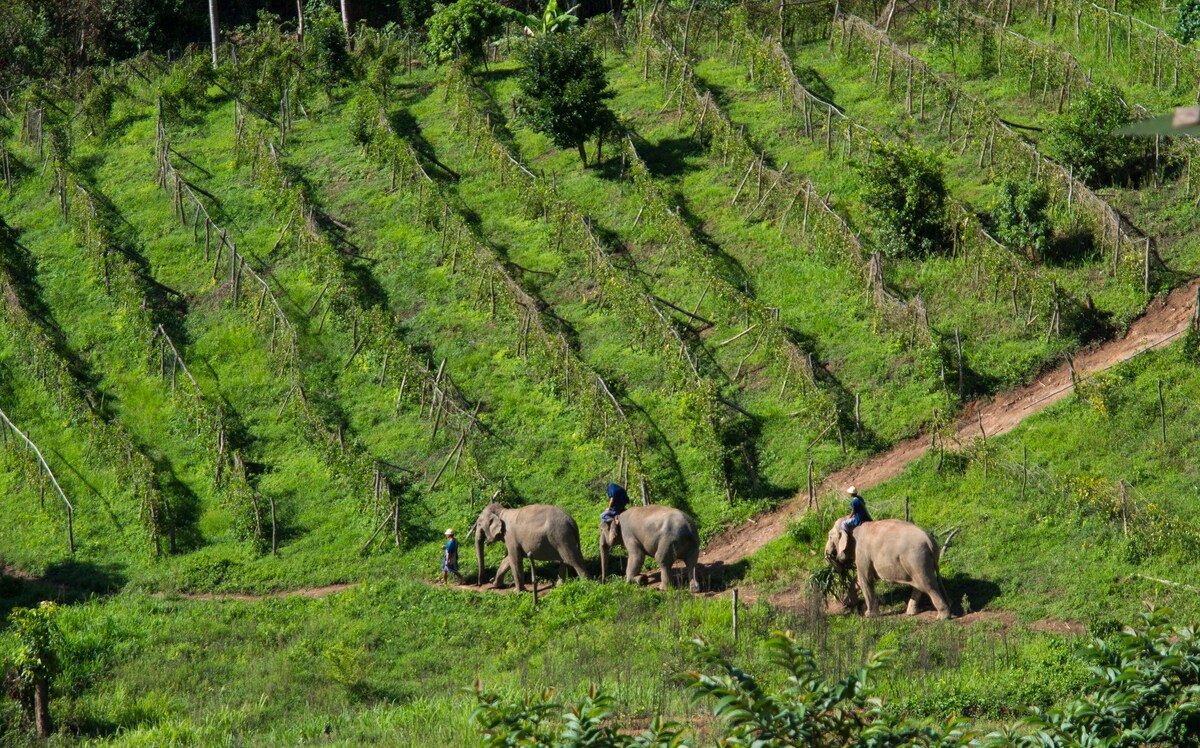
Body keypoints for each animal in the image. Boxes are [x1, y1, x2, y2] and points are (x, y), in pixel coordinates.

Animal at [820, 521, 950, 619]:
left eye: (829, 537)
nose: (830, 556)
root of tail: (930, 542)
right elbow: (858, 581)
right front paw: (850, 604)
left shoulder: (861, 552)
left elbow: (865, 579)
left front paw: (868, 615)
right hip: (917, 564)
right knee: (920, 585)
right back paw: (911, 613)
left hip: (918, 560)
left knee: (929, 586)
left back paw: (942, 617)